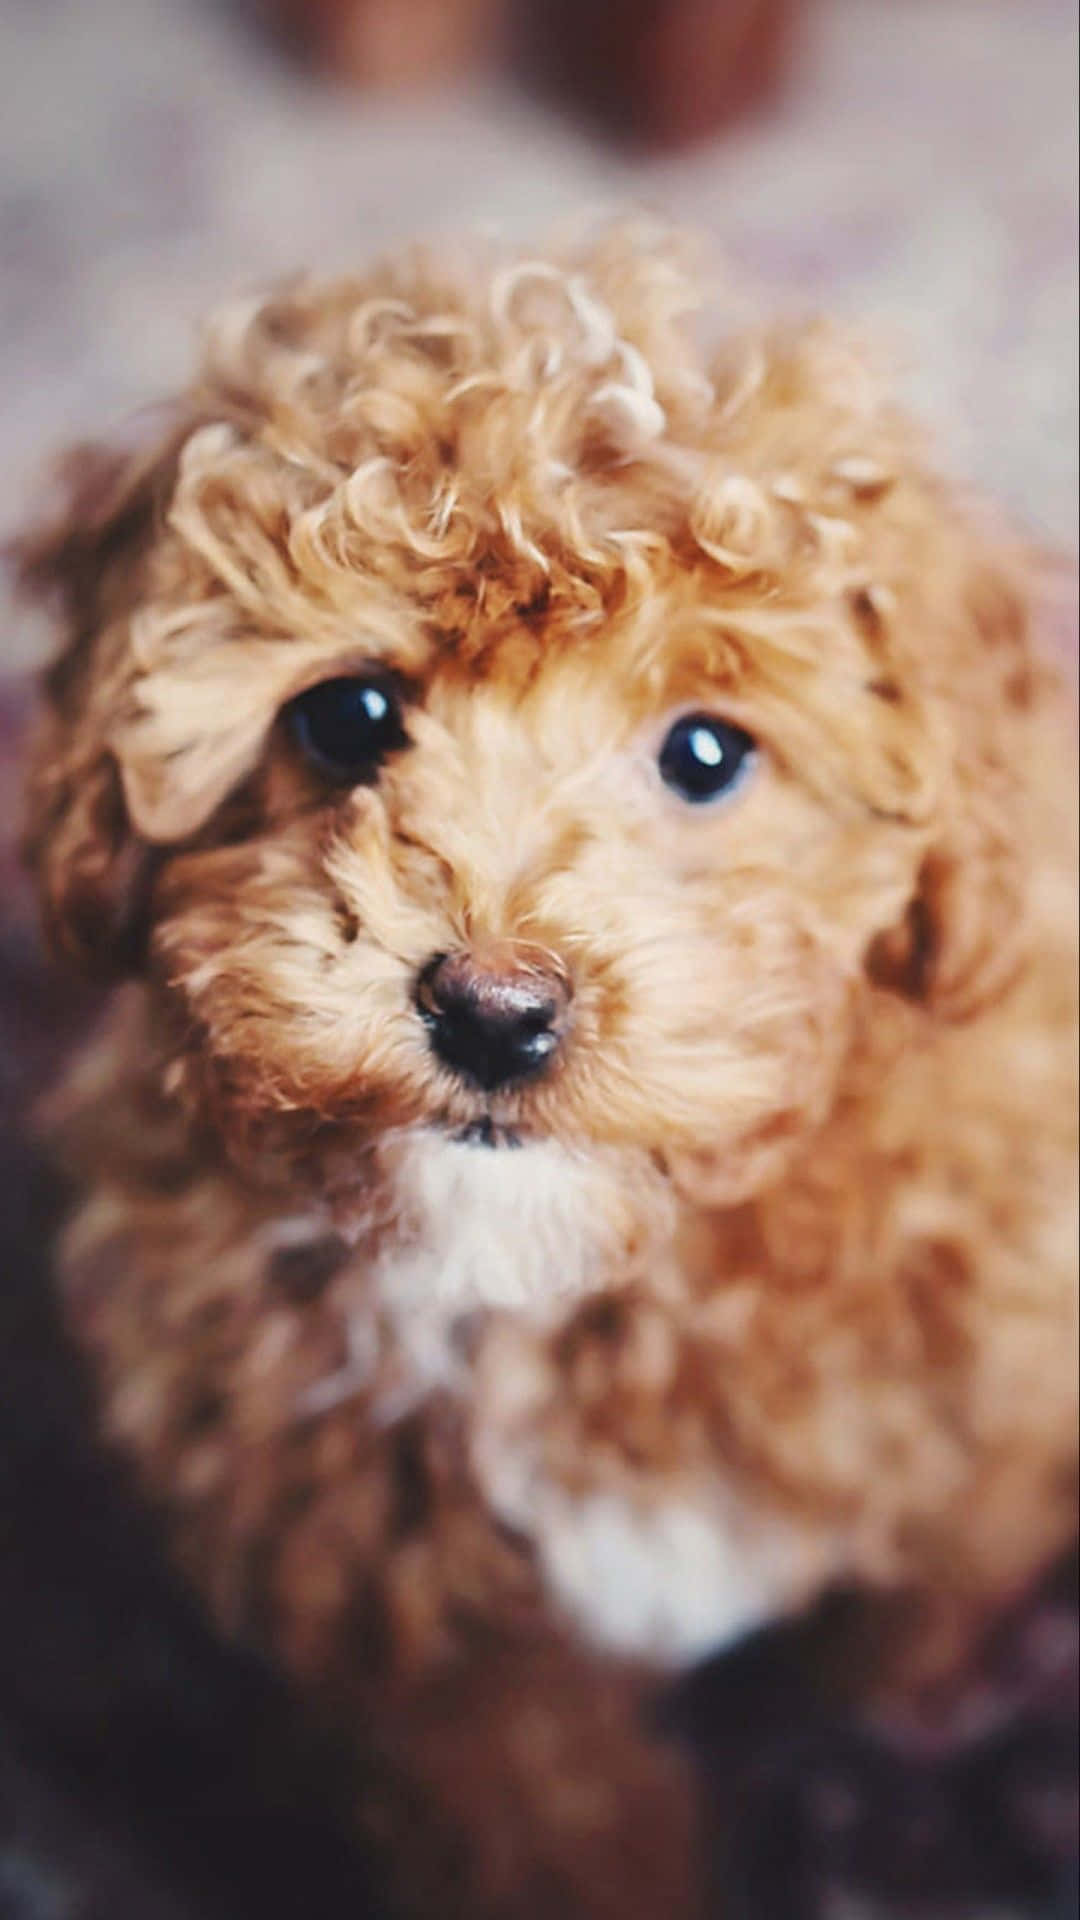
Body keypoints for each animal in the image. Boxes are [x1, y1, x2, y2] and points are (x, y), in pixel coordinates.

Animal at [16, 232, 1076, 1912]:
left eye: (707, 754)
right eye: (348, 715)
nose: (494, 1010)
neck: (560, 1296)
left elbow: (930, 1579)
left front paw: (901, 1706)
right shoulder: (434, 1640)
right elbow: (544, 1810)